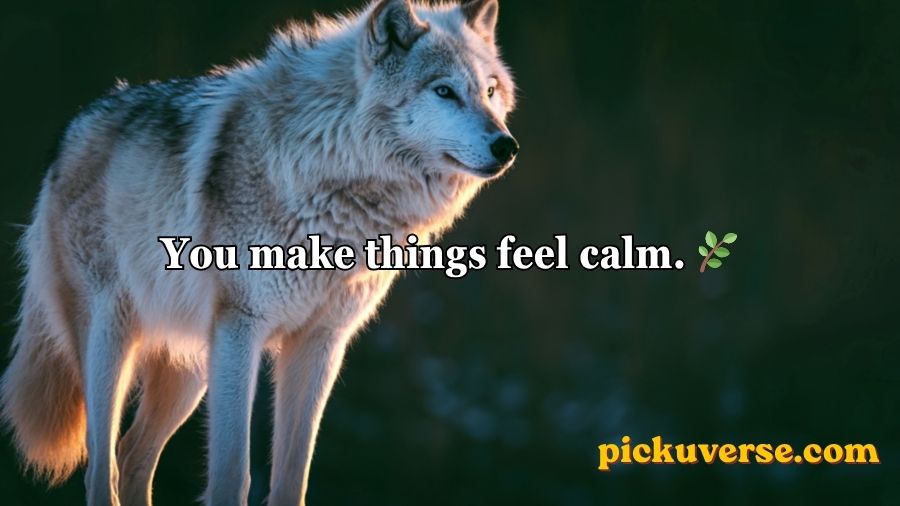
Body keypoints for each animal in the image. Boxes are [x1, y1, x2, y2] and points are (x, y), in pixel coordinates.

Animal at [0, 0, 518, 504]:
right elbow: (233, 476)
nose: (506, 145)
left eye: (490, 91)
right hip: (112, 340)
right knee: (100, 468)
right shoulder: (241, 329)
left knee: (131, 458)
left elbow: (292, 478)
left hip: (191, 370)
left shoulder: (321, 342)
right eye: (444, 91)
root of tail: (72, 130)